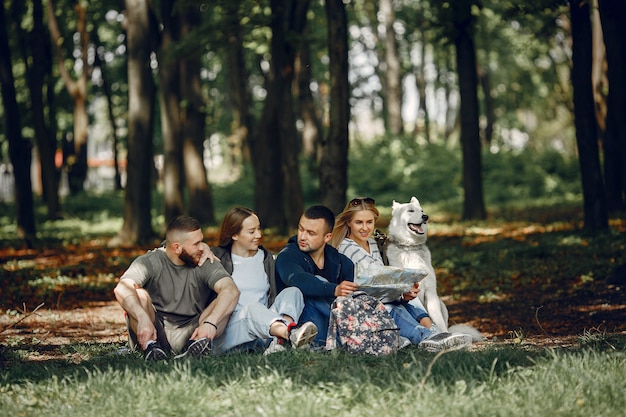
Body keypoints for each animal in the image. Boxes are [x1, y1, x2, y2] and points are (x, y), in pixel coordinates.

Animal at [382, 197, 480, 340]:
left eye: (422, 210)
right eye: (410, 211)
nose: (425, 217)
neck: (411, 248)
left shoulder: (431, 293)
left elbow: (437, 319)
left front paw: (445, 334)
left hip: (442, 303)